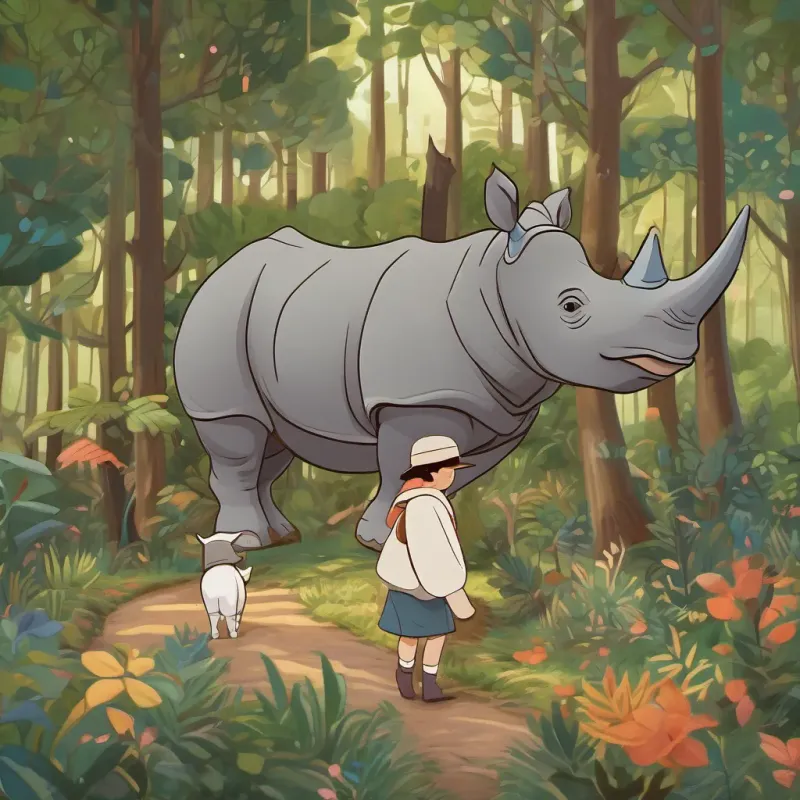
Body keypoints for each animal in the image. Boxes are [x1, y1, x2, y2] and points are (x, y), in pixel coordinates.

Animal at [174, 167, 750, 552]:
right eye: (571, 307)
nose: (679, 352)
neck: (493, 282)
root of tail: (218, 271)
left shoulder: (500, 413)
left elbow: (456, 472)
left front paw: (434, 536)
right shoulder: (413, 399)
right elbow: (401, 463)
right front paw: (381, 542)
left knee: (273, 443)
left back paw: (280, 536)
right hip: (216, 317)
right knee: (238, 433)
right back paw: (248, 542)